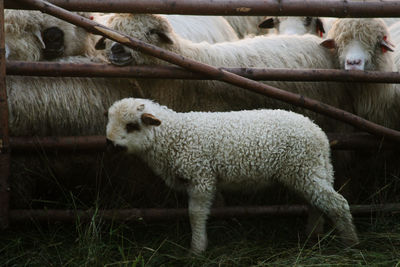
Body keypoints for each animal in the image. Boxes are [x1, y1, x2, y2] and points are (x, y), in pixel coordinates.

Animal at [106, 98, 360, 253]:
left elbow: (196, 214)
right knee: (316, 203)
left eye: (132, 126)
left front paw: (197, 248)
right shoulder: (208, 179)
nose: (109, 143)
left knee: (337, 203)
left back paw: (350, 243)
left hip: (305, 169)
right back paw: (312, 237)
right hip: (312, 171)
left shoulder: (201, 177)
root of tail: (319, 134)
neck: (176, 135)